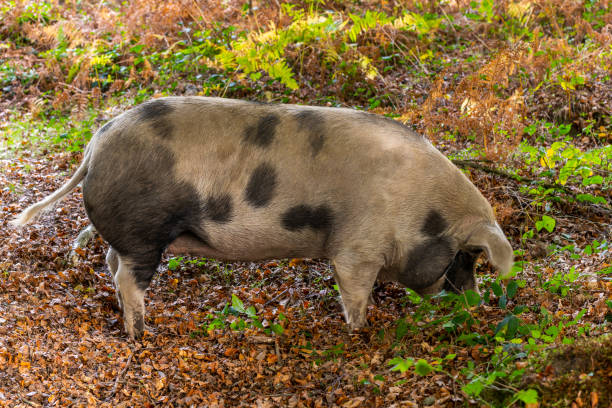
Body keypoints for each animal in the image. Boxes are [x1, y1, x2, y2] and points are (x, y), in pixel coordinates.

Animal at [11, 97, 512, 340]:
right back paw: (142, 335)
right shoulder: (356, 248)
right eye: (466, 256)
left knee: (111, 266)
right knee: (127, 279)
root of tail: (95, 146)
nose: (476, 303)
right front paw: (360, 332)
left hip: (131, 236)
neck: (417, 208)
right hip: (144, 232)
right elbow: (354, 293)